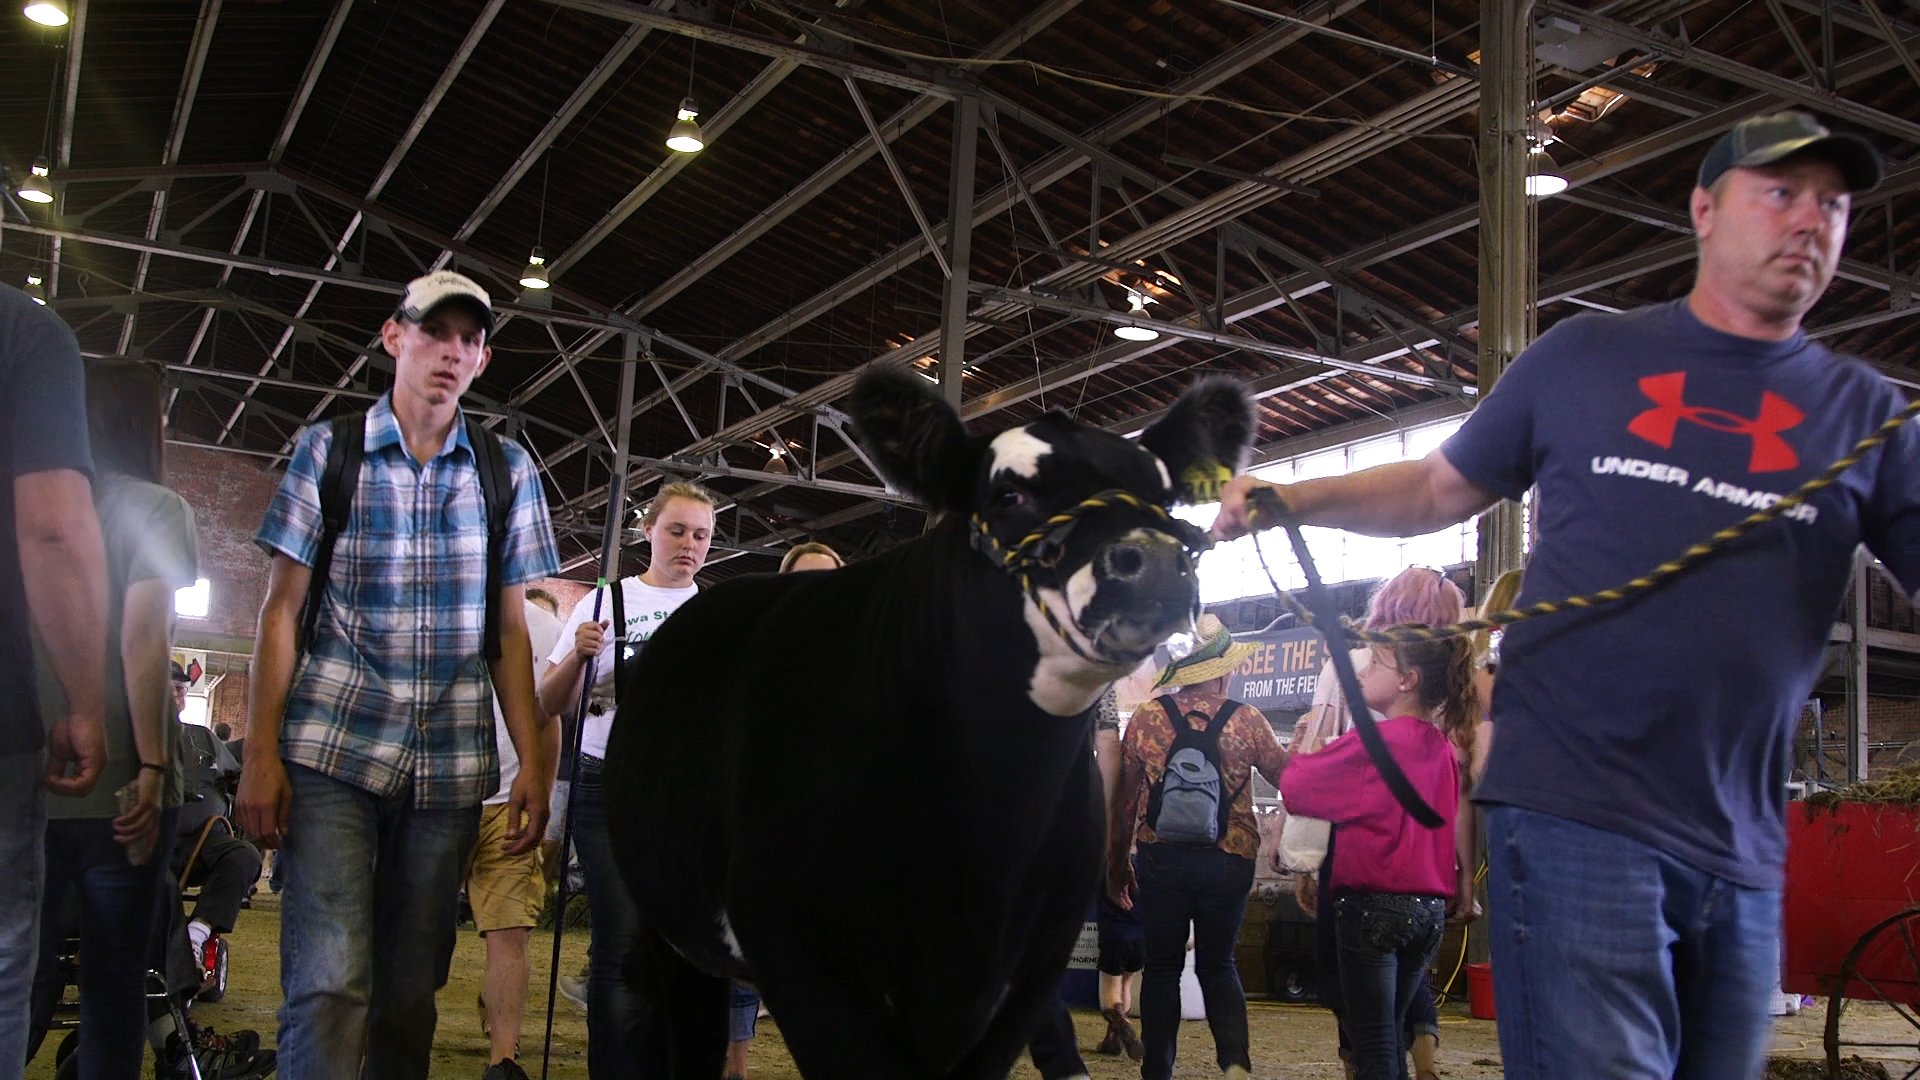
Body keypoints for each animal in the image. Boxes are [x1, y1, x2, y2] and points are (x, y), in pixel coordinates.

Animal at [602, 365, 1259, 1068]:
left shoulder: (1029, 976)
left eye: (1166, 498)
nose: (1157, 563)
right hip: (669, 925)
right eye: (1007, 495)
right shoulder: (803, 962)